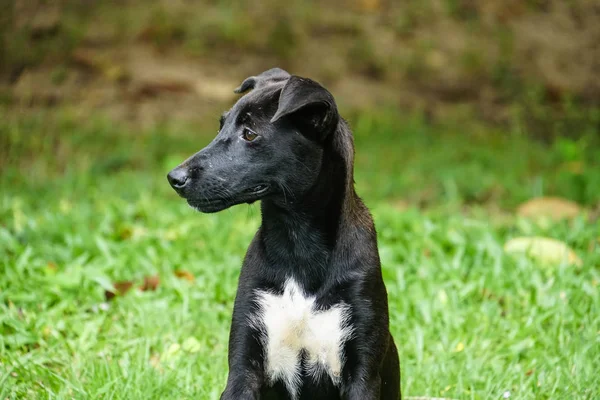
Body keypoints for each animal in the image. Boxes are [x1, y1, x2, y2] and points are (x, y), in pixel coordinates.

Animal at [169, 69, 400, 400]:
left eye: (250, 134)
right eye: (221, 125)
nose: (174, 177)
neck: (296, 239)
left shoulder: (362, 372)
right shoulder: (243, 366)